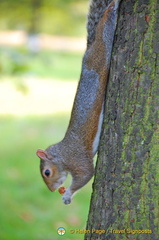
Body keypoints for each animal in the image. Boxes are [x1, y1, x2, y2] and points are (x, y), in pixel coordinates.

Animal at [35, 0, 120, 204]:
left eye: (47, 172)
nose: (52, 190)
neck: (62, 153)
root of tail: (88, 51)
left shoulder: (77, 160)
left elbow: (86, 174)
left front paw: (67, 195)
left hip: (100, 54)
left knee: (104, 34)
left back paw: (111, 10)